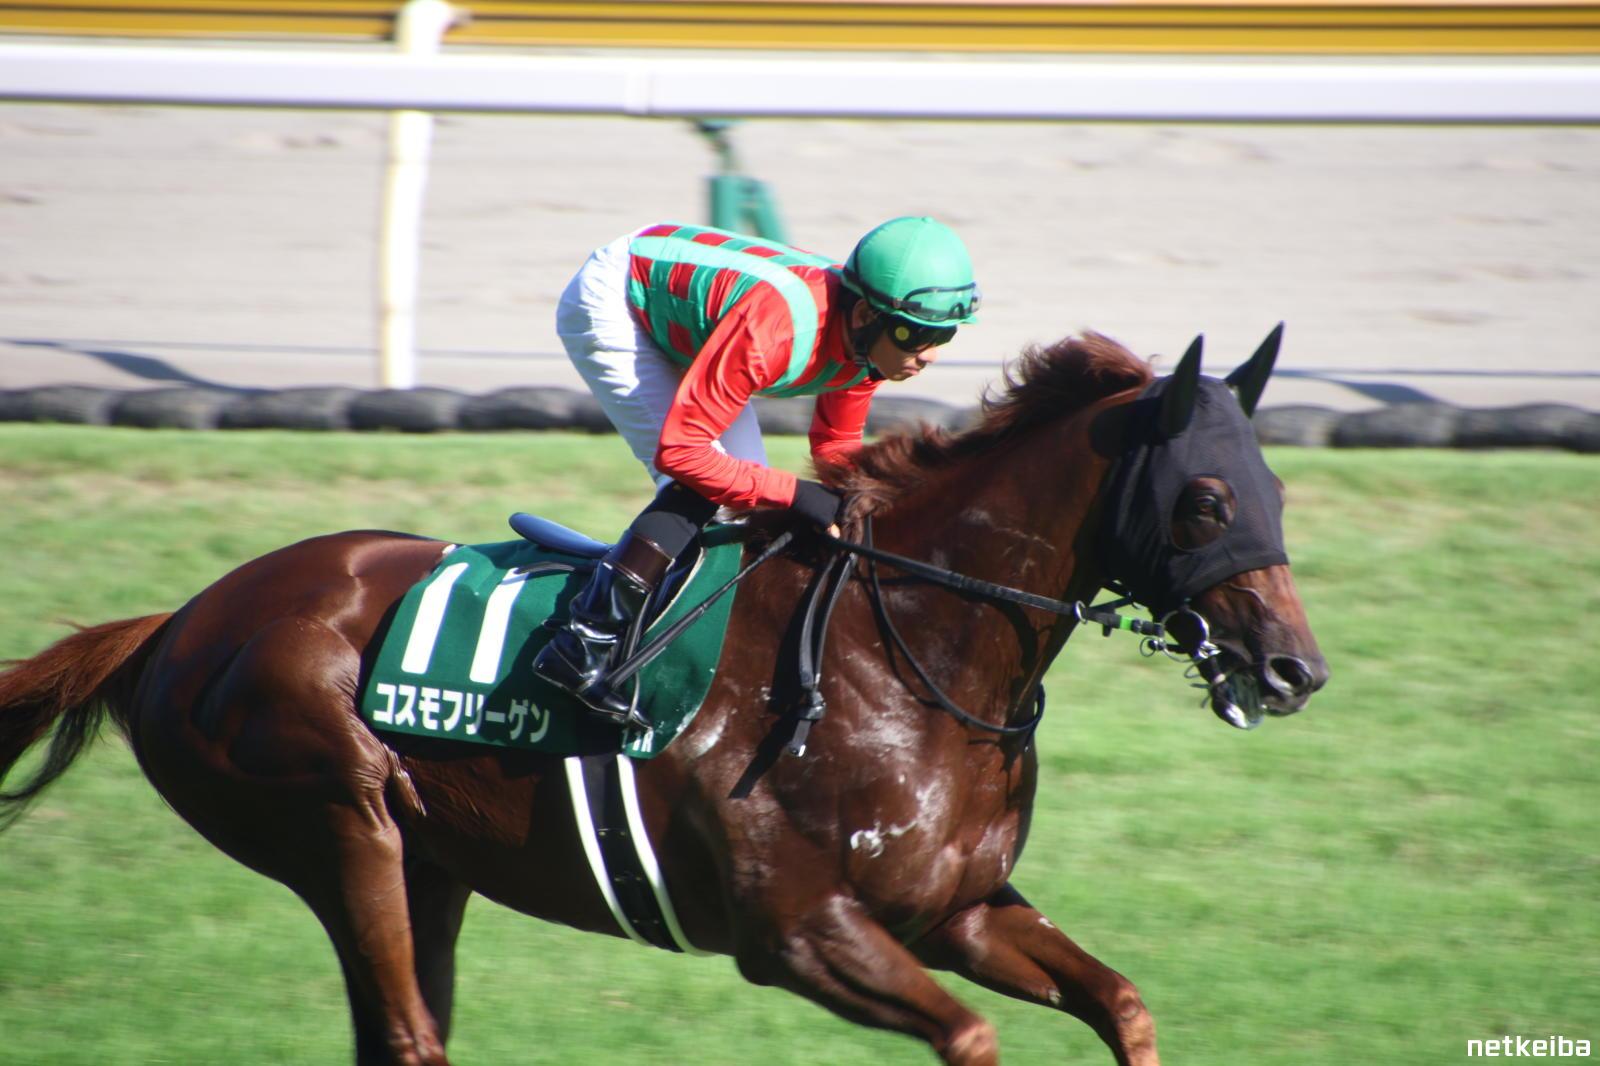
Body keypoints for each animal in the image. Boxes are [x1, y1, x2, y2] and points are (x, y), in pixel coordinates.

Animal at [0, 331, 1327, 1066]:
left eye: (1273, 489)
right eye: (1205, 500)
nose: (1291, 668)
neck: (907, 649)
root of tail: (180, 620)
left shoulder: (956, 910)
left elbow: (1123, 1004)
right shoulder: (795, 929)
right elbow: (969, 1034)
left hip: (429, 864)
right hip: (338, 825)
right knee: (409, 1031)